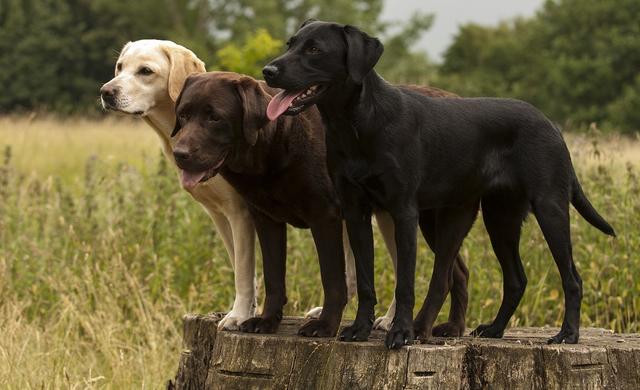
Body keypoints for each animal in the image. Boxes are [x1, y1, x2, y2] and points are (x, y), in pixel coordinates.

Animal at [264, 19, 616, 348]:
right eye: (290, 44)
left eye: (315, 49)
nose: (268, 70)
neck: (357, 124)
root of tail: (551, 124)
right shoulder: (355, 212)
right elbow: (365, 280)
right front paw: (360, 329)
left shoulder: (403, 212)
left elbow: (405, 283)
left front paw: (400, 333)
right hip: (492, 218)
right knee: (512, 279)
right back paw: (493, 329)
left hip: (548, 208)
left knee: (571, 278)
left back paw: (567, 333)